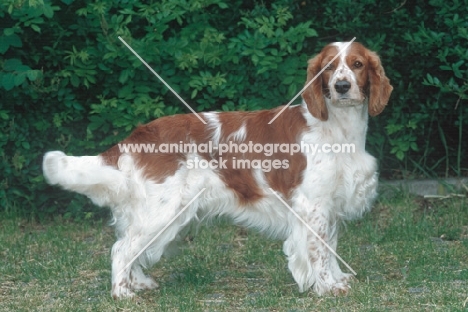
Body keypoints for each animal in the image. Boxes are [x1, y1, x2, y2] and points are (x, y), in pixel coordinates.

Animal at [43, 41, 392, 298]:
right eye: (329, 67)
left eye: (357, 64)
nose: (342, 86)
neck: (339, 128)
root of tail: (136, 136)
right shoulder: (313, 204)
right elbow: (318, 250)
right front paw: (327, 287)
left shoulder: (331, 204)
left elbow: (330, 247)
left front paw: (337, 278)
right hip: (164, 210)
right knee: (121, 248)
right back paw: (122, 293)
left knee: (130, 245)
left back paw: (138, 282)